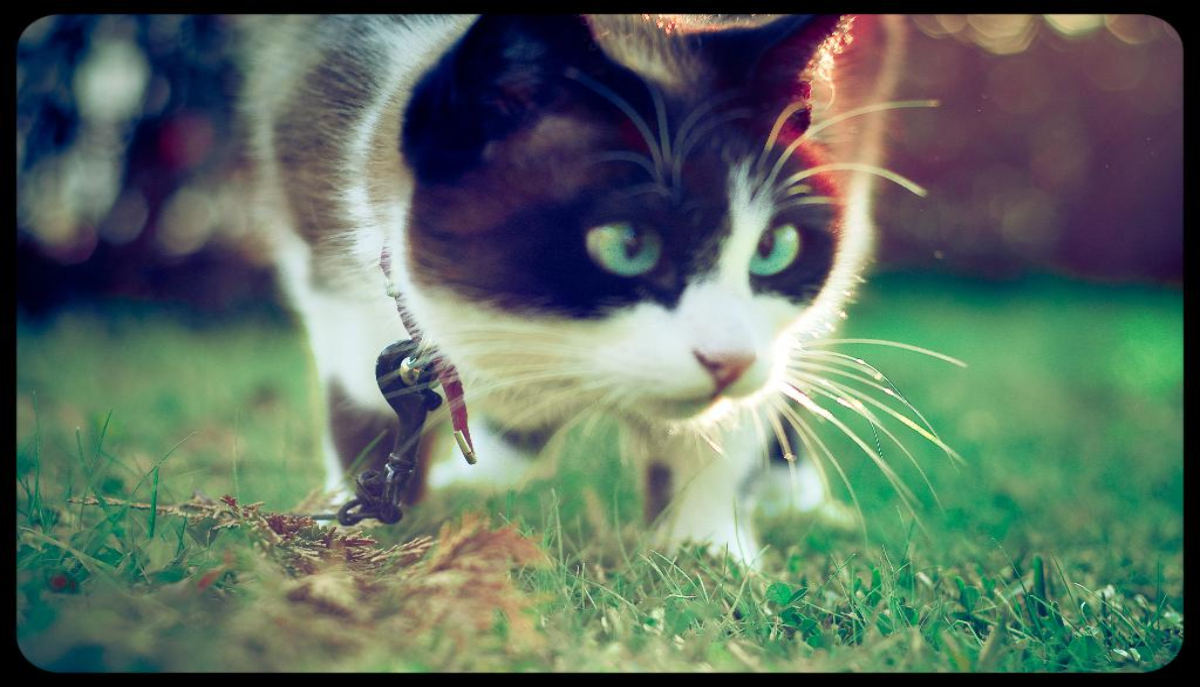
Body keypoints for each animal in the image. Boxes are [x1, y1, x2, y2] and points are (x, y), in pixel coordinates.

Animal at [242, 14, 907, 564]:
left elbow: (722, 432)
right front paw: (354, 539)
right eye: (627, 243)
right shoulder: (329, 254)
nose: (731, 360)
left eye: (773, 248)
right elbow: (363, 405)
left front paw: (708, 549)